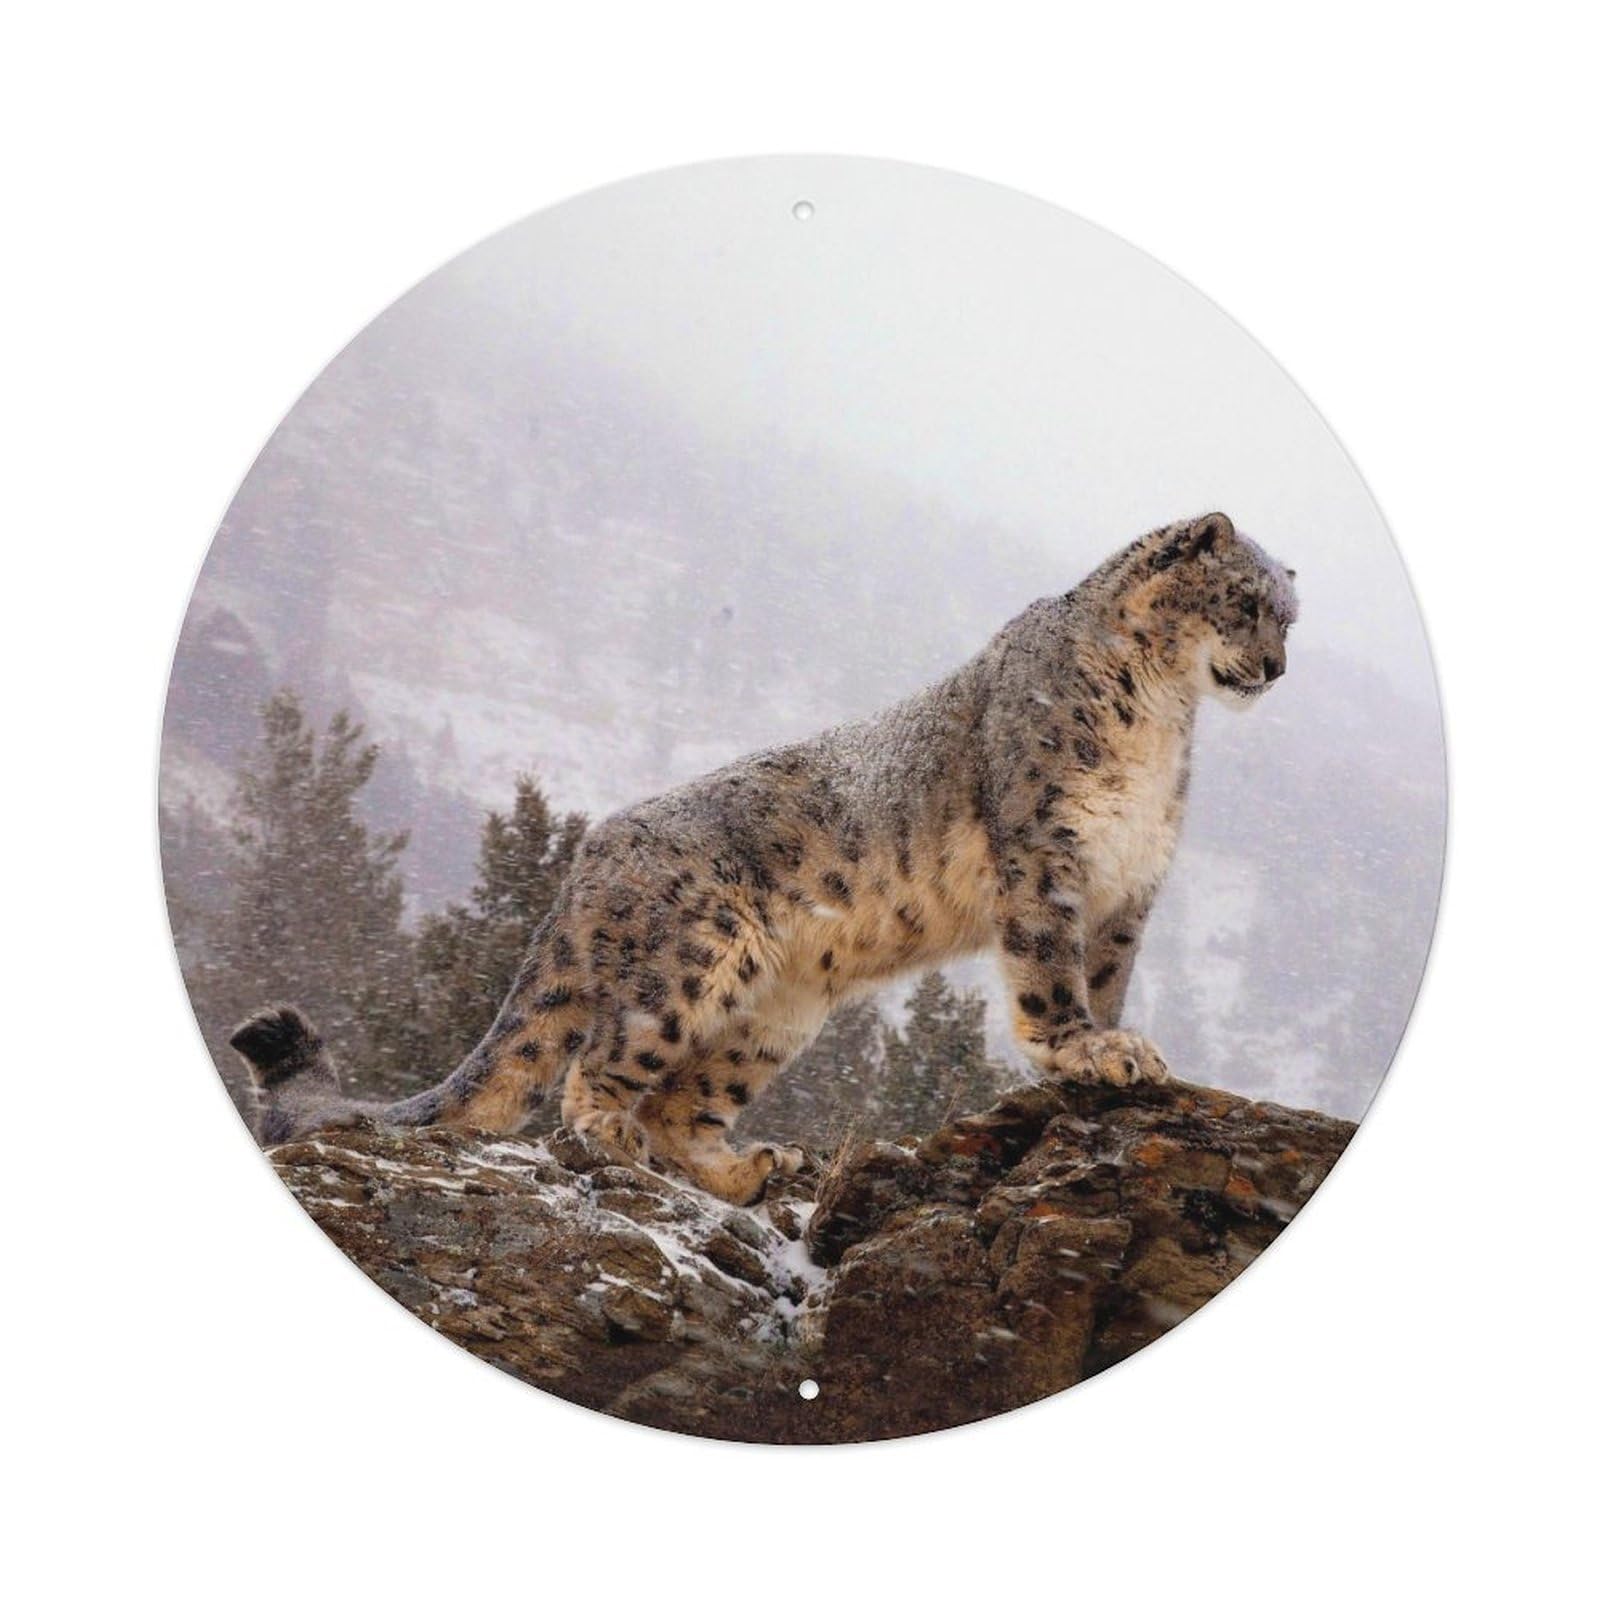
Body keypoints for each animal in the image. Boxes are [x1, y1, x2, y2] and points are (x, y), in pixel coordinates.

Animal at [231, 511, 1298, 1205]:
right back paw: (615, 1134)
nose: (1279, 668)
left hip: (776, 1014)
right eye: (1247, 601)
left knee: (686, 1103)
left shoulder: (1129, 885)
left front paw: (1121, 1049)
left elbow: (1106, 976)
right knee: (602, 1064)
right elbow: (1052, 977)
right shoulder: (1048, 857)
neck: (1164, 712)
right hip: (695, 958)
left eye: (1289, 613)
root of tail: (590, 851)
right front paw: (1087, 1050)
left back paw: (751, 1168)